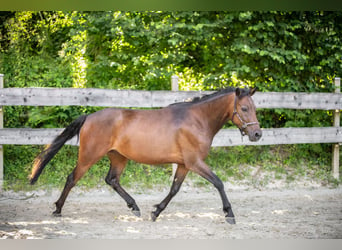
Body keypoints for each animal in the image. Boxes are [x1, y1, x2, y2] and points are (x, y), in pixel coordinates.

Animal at [30, 86, 264, 225]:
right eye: (244, 108)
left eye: (254, 108)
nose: (257, 134)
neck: (197, 120)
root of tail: (89, 117)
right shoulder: (195, 162)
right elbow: (219, 183)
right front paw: (229, 214)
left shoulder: (184, 164)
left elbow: (174, 189)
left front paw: (156, 211)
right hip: (89, 156)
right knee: (72, 178)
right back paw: (58, 209)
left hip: (118, 157)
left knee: (112, 180)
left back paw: (134, 207)